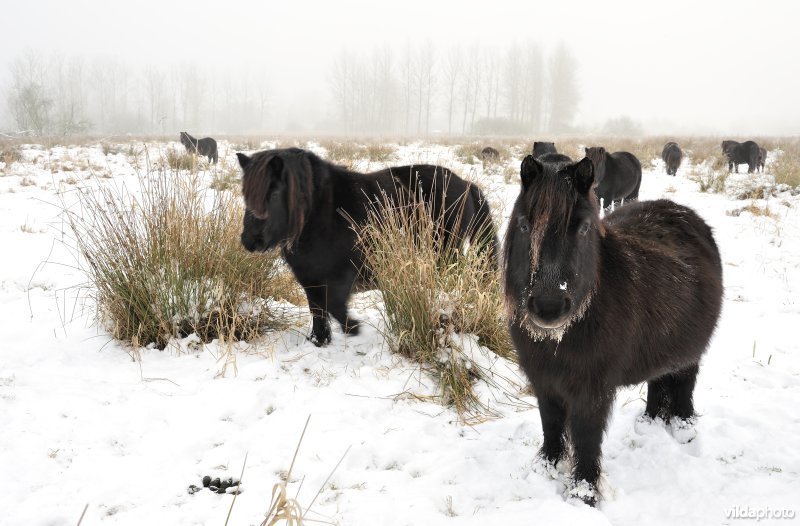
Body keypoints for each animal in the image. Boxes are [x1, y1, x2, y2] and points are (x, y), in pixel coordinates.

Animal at [238, 148, 498, 346]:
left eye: (274, 193)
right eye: (246, 194)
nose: (250, 241)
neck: (322, 215)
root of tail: (467, 185)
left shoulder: (343, 275)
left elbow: (333, 304)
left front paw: (353, 328)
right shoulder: (309, 279)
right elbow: (318, 311)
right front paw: (319, 341)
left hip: (444, 255)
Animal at [503, 155, 723, 506]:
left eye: (583, 228)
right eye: (525, 224)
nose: (549, 306)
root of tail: (681, 212)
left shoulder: (592, 391)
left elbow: (586, 438)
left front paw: (583, 493)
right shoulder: (544, 381)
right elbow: (550, 424)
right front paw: (546, 467)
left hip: (689, 354)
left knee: (684, 384)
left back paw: (684, 429)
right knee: (659, 381)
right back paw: (649, 422)